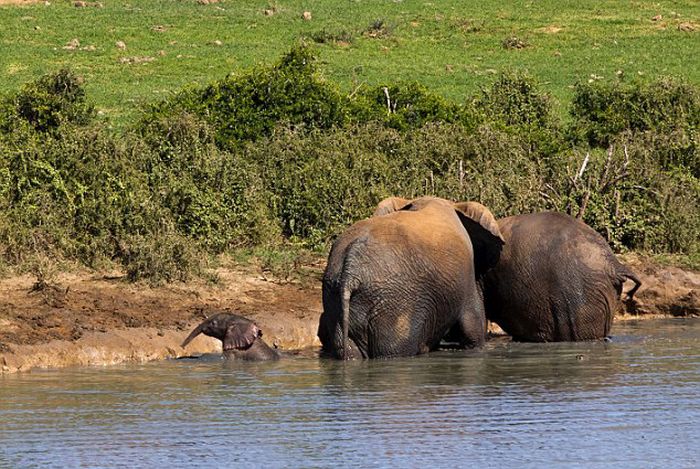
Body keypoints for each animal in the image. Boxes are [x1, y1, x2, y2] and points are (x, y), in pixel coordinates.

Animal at [318, 194, 504, 358]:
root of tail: (351, 272)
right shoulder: (466, 276)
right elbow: (473, 325)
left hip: (335, 295)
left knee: (349, 350)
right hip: (396, 303)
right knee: (393, 352)